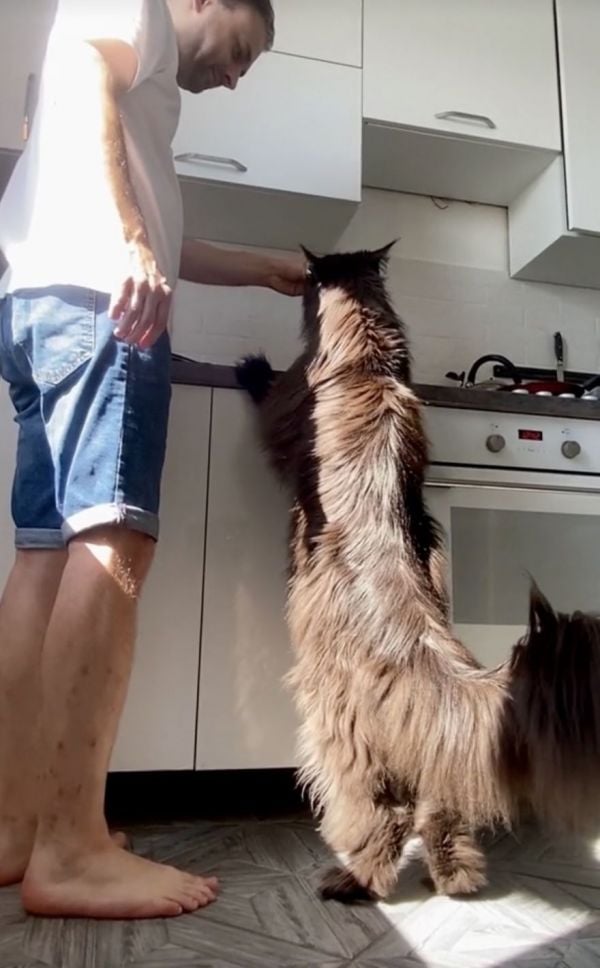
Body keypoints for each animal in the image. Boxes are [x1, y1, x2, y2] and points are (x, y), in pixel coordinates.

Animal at [237, 242, 600, 900]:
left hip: (336, 729)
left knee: (383, 813)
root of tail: (418, 640)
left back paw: (352, 882)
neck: (369, 359)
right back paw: (453, 877)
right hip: (429, 752)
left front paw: (251, 367)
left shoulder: (286, 411)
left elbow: (270, 395)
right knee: (439, 807)